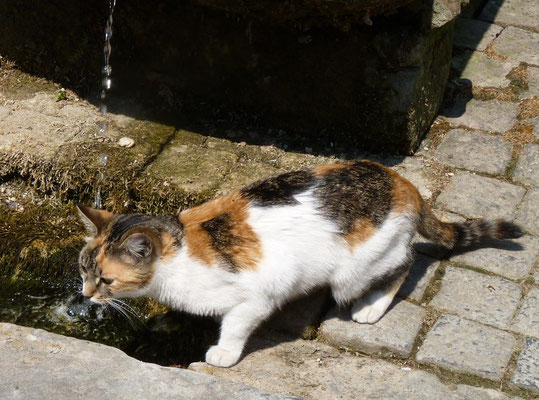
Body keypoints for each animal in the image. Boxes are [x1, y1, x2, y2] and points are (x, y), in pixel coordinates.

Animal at [77, 161, 524, 368]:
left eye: (105, 280)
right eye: (83, 270)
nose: (84, 295)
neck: (179, 250)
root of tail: (404, 184)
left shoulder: (257, 297)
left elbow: (234, 326)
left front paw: (223, 353)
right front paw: (170, 323)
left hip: (353, 272)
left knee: (406, 262)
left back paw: (371, 308)